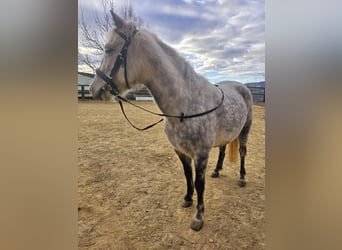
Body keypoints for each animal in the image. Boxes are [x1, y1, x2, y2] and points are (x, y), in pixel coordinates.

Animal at [89, 11, 252, 230]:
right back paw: (217, 171)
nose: (94, 89)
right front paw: (187, 199)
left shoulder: (201, 154)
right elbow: (187, 175)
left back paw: (242, 178)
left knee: (242, 152)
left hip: (245, 130)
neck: (186, 105)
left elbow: (199, 183)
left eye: (108, 49)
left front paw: (198, 217)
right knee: (223, 150)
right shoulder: (180, 151)